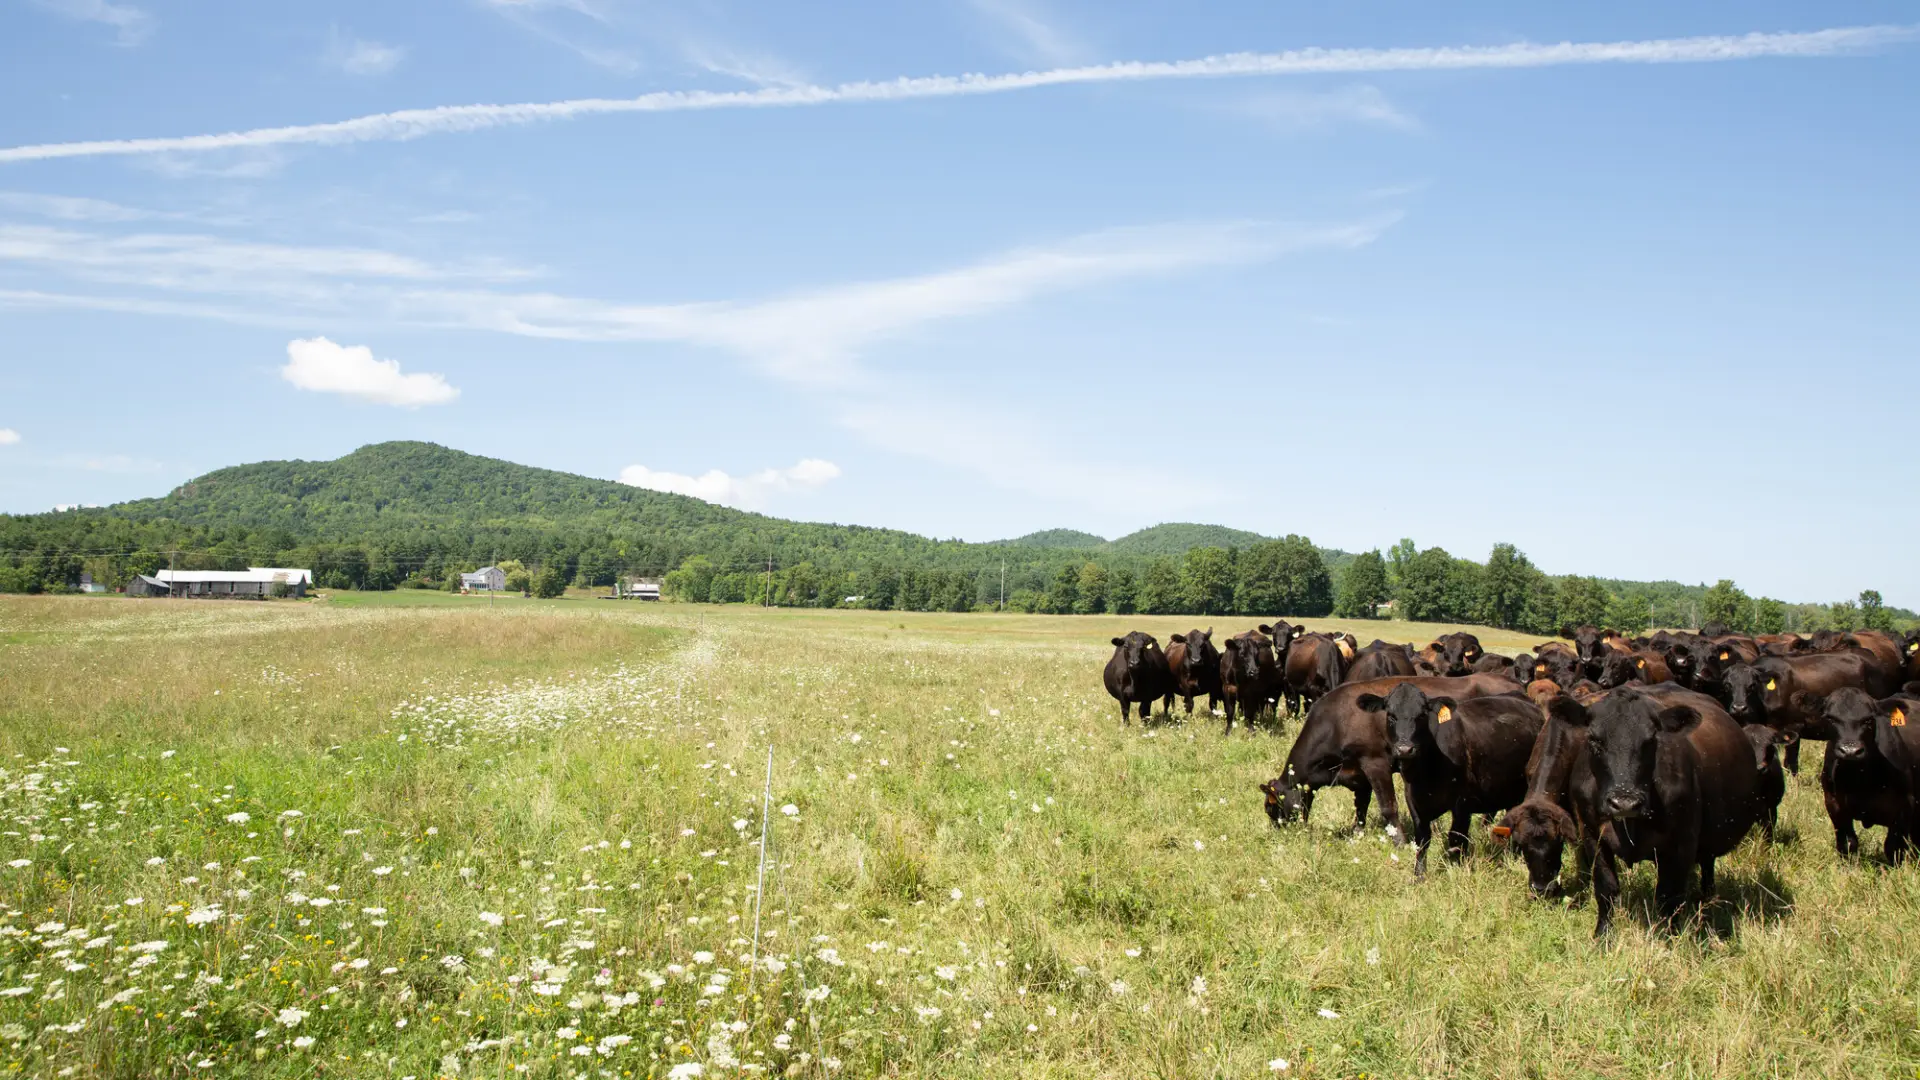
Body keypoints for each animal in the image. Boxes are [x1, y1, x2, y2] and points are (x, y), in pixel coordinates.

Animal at [1261, 672, 1523, 834]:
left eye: (1271, 807)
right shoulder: (1359, 772)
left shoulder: (1376, 763)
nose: (1279, 832)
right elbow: (1361, 804)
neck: (1337, 721)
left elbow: (1388, 807)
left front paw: (1400, 841)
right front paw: (1358, 832)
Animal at [1369, 683, 1542, 877]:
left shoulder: (1463, 802)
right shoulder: (1413, 800)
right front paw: (1419, 875)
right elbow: (1422, 839)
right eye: (1391, 715)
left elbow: (1456, 838)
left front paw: (1458, 870)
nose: (1405, 749)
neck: (1427, 771)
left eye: (1421, 715)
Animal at [1562, 688, 1761, 936]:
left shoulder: (1682, 842)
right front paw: (1602, 935)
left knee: (1707, 867)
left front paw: (1670, 937)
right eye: (1594, 740)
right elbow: (1605, 888)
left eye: (1650, 741)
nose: (1624, 802)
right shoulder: (1590, 832)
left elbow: (1669, 896)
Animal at [1807, 688, 1920, 863]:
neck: (1861, 781)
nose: (1850, 751)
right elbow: (1847, 843)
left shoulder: (1905, 807)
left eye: (1868, 719)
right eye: (1830, 718)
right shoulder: (1833, 803)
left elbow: (1894, 848)